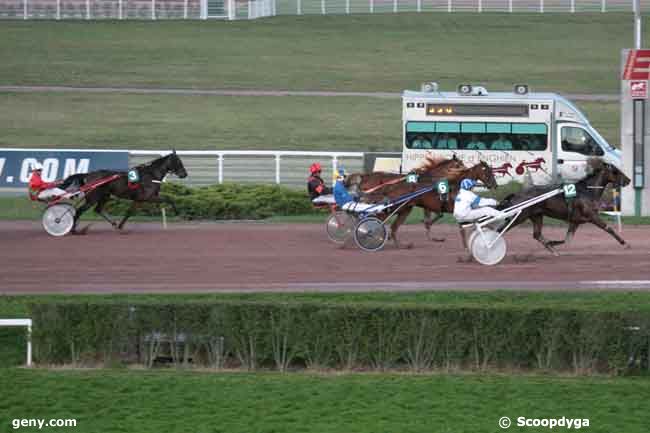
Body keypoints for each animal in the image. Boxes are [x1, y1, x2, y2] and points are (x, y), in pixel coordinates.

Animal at [362, 160, 494, 248]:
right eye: (487, 172)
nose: (494, 184)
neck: (457, 185)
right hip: (398, 207)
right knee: (380, 218)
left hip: (405, 209)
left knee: (393, 226)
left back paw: (400, 244)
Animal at [496, 158, 628, 253]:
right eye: (616, 171)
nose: (628, 180)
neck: (587, 190)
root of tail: (517, 194)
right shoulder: (592, 216)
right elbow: (608, 228)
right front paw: (624, 242)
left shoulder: (575, 221)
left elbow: (567, 239)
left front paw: (552, 243)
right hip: (520, 216)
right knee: (500, 230)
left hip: (537, 215)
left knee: (537, 234)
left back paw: (552, 250)